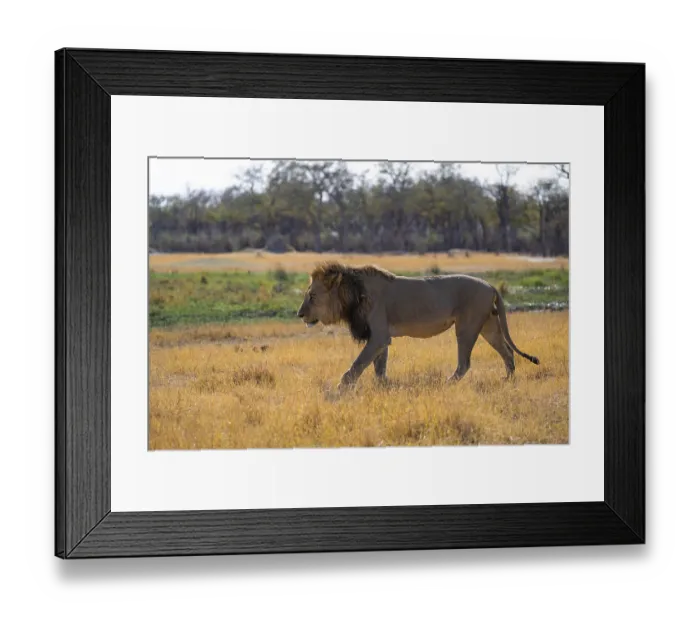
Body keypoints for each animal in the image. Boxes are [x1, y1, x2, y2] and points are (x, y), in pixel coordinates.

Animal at [296, 262, 540, 388]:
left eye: (312, 296)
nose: (299, 314)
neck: (353, 294)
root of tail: (490, 285)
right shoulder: (381, 338)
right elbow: (378, 367)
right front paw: (384, 388)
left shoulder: (379, 336)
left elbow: (358, 364)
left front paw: (341, 389)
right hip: (489, 326)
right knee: (507, 352)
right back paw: (507, 380)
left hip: (466, 327)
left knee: (465, 363)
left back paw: (447, 384)